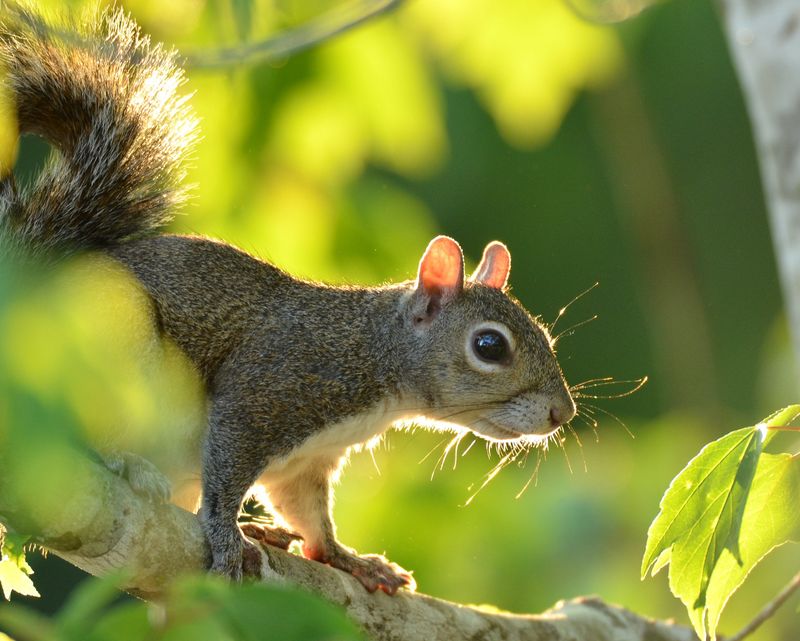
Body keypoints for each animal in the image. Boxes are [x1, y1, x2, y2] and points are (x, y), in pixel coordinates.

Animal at [0, 6, 576, 594]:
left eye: (547, 336)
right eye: (489, 346)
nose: (563, 413)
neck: (375, 357)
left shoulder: (308, 462)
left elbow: (308, 511)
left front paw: (348, 558)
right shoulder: (269, 388)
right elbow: (228, 471)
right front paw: (227, 536)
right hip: (107, 354)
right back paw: (130, 465)